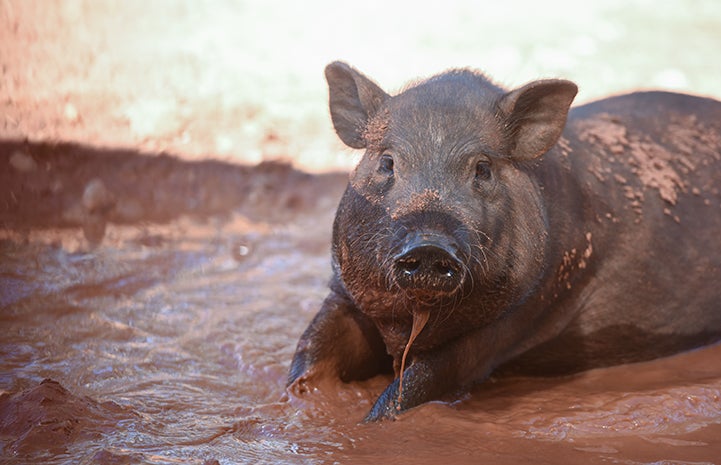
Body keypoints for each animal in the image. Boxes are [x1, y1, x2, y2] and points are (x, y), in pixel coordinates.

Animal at [286, 60, 720, 420]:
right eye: (387, 162)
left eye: (483, 168)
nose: (429, 244)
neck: (405, 319)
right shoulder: (343, 294)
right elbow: (310, 356)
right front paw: (298, 402)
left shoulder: (518, 316)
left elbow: (411, 389)